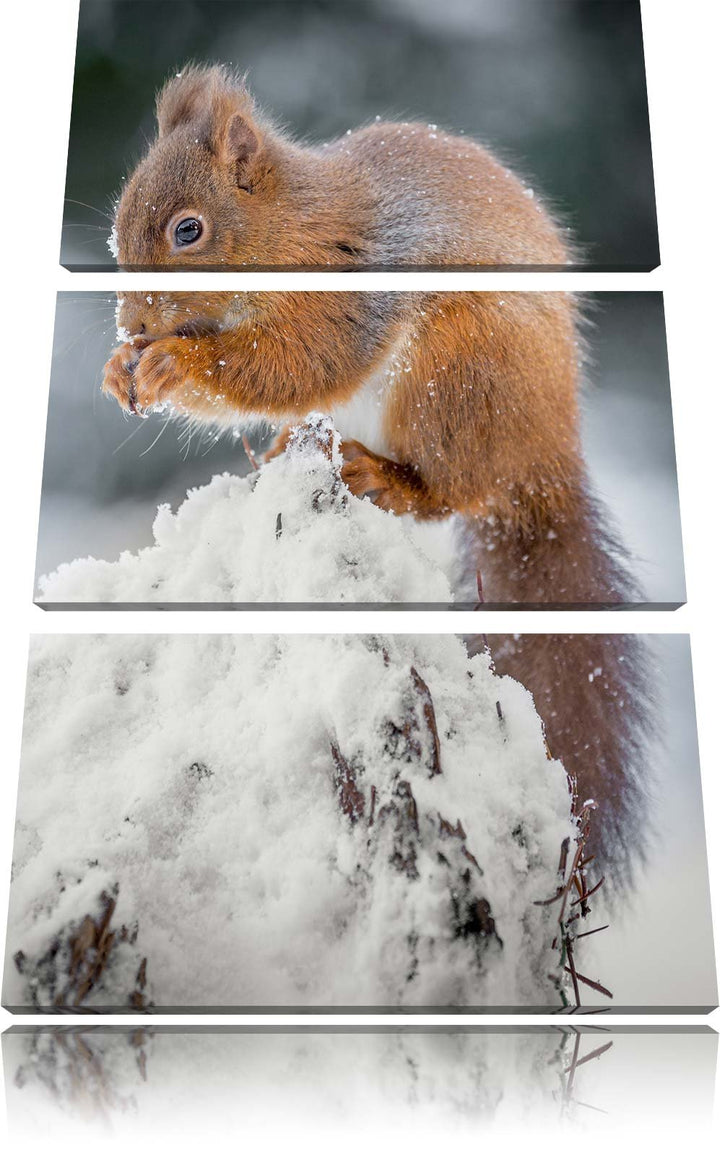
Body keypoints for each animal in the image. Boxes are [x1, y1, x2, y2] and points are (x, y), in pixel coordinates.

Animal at [102, 66, 651, 876]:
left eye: (188, 230)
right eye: (117, 222)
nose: (133, 324)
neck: (287, 227)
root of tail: (545, 453)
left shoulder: (348, 290)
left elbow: (294, 362)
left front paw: (174, 363)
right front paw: (122, 368)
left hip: (454, 374)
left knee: (448, 490)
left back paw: (383, 477)